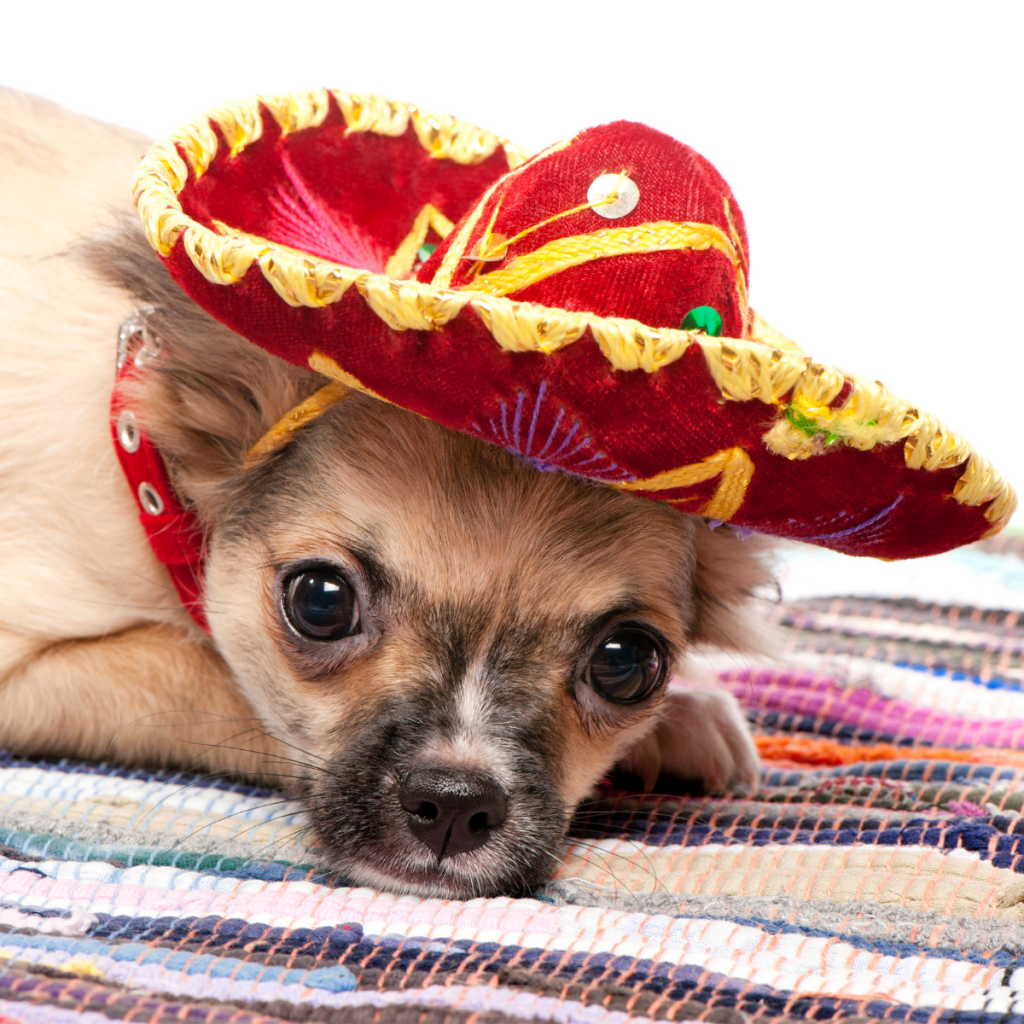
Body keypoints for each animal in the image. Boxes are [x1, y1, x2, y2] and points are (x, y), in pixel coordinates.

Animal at [0, 92, 770, 901]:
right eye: (320, 601)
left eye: (627, 663)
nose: (456, 803)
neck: (152, 465)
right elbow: (209, 681)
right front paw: (685, 723)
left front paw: (685, 713)